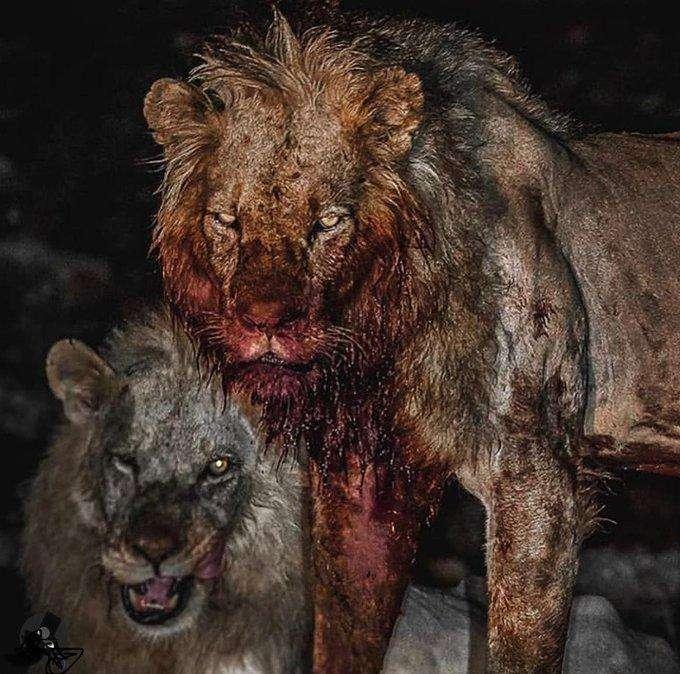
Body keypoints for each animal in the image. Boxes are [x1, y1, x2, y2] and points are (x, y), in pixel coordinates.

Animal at [143, 10, 680, 674]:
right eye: (226, 220)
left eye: (328, 222)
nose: (265, 322)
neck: (385, 329)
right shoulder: (363, 481)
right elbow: (344, 631)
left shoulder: (537, 475)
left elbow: (518, 645)